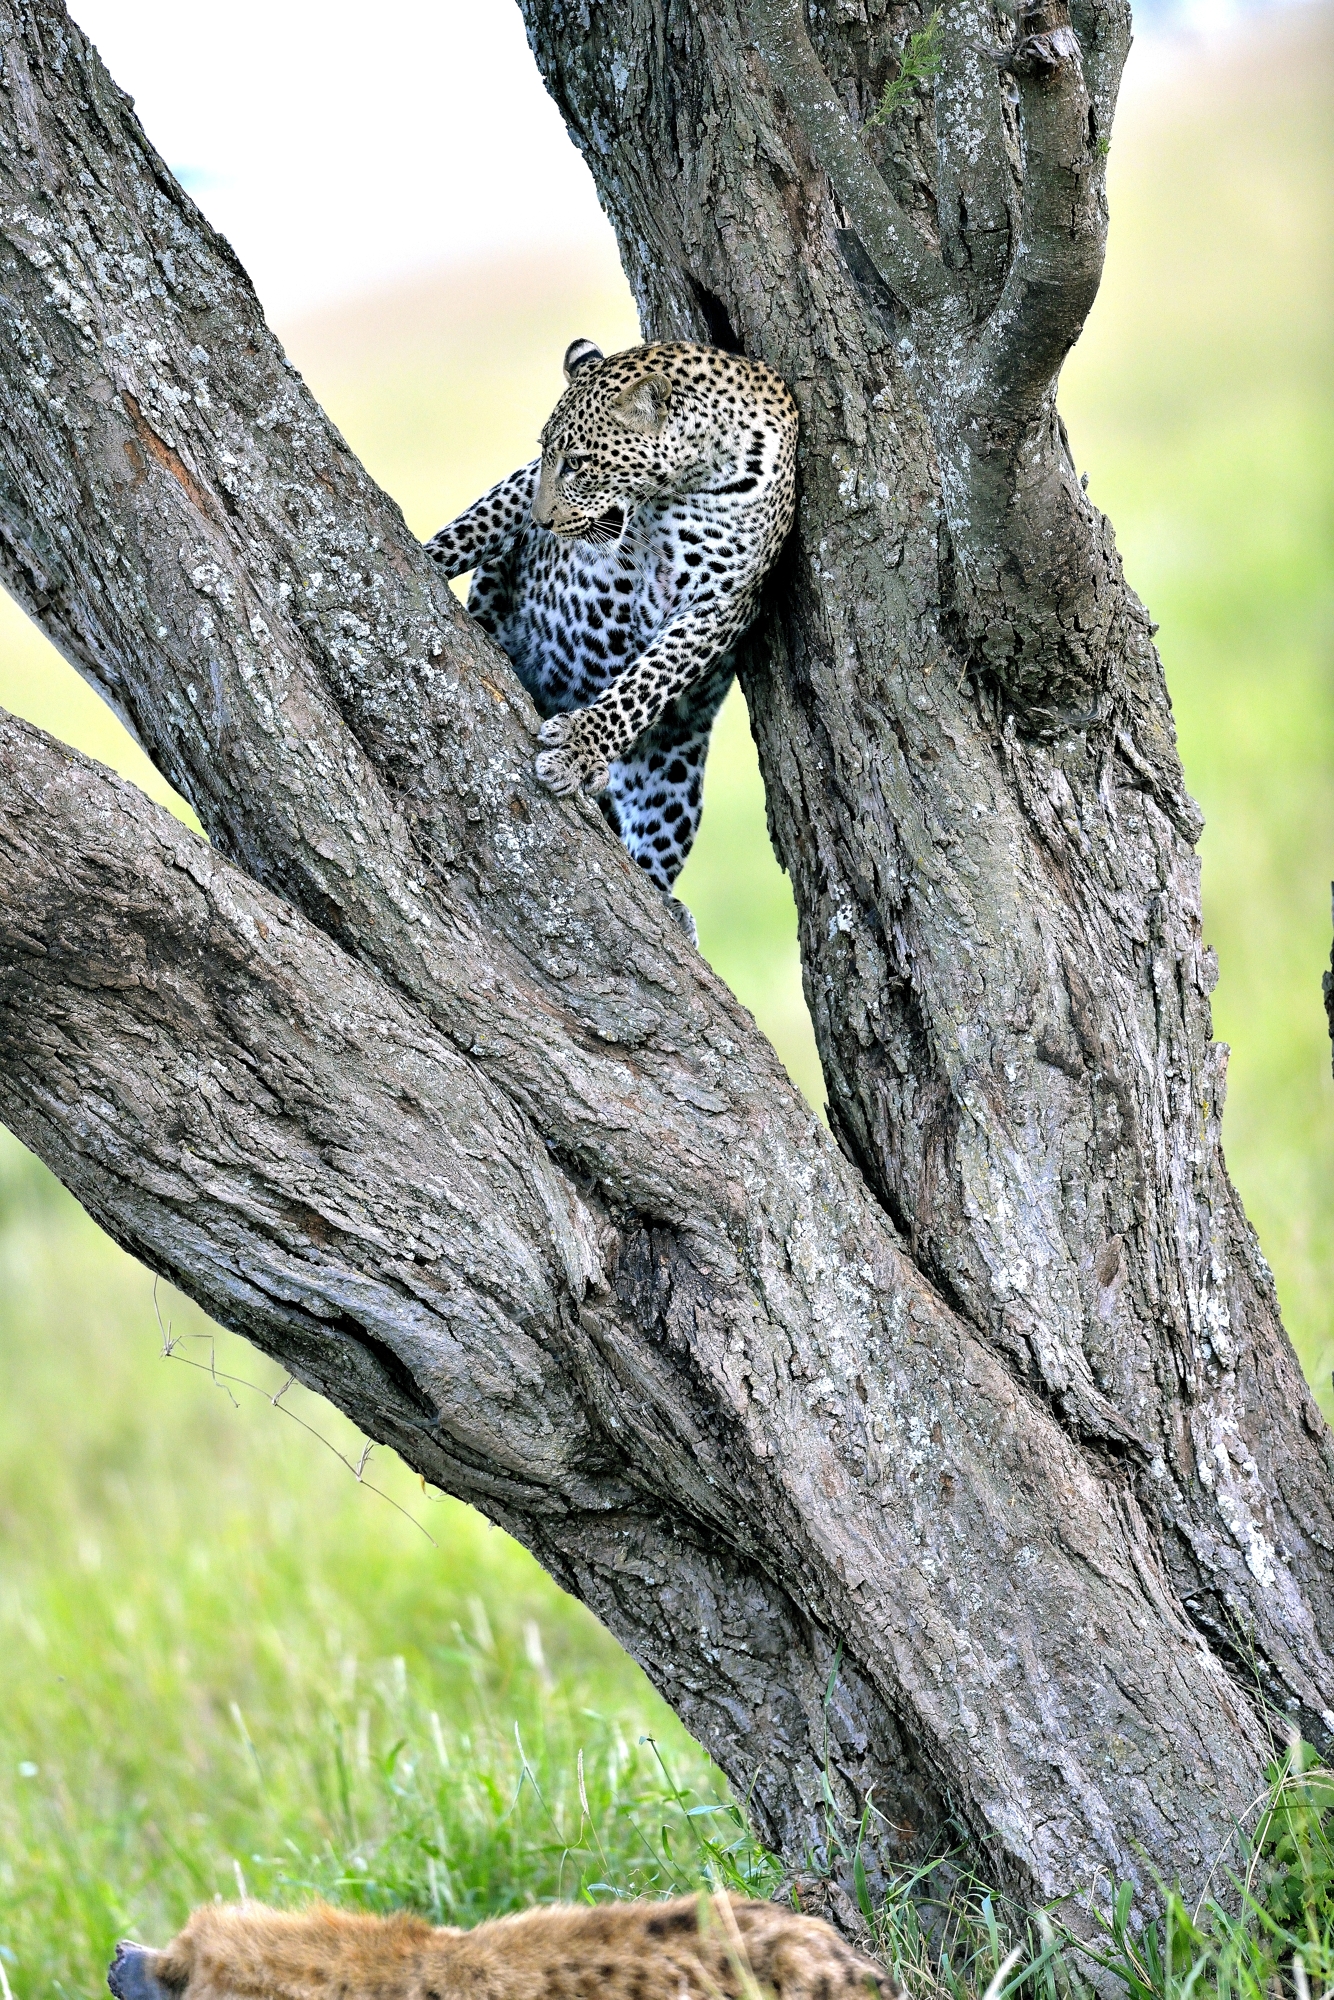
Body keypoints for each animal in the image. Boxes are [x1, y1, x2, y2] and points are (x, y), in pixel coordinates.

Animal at [426, 338, 799, 932]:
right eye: (548, 456)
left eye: (578, 463)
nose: (545, 522)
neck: (686, 483)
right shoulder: (522, 483)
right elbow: (478, 523)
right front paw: (419, 554)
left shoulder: (718, 605)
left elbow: (645, 684)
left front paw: (580, 747)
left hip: (674, 780)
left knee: (652, 844)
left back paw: (667, 905)